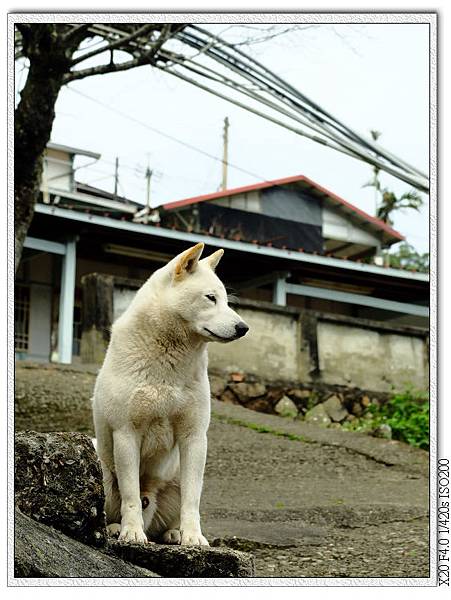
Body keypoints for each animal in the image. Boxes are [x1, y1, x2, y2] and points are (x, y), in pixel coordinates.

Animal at [92, 243, 251, 544]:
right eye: (210, 298)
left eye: (227, 301)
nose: (243, 328)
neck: (169, 360)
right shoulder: (126, 433)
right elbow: (131, 496)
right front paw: (132, 532)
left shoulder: (194, 437)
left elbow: (192, 500)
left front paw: (193, 537)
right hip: (102, 468)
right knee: (108, 509)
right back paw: (115, 528)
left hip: (176, 475)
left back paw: (174, 533)